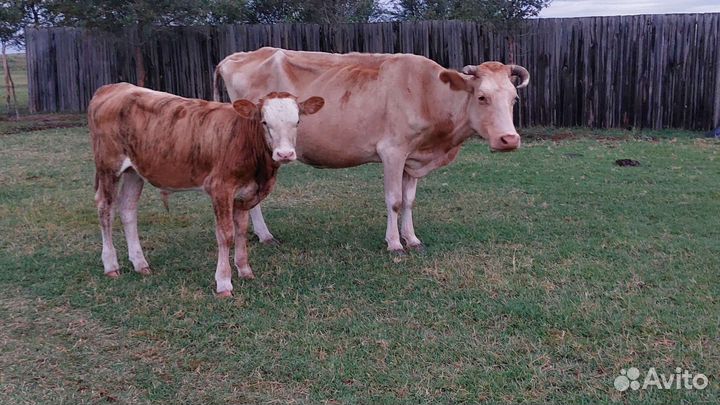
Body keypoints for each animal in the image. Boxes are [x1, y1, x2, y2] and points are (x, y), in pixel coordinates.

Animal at [88, 83, 324, 295]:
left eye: (297, 121)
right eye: (264, 122)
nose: (285, 154)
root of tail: (113, 87)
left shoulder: (245, 193)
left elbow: (241, 230)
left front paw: (244, 270)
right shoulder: (220, 188)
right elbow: (225, 234)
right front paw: (224, 283)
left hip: (134, 171)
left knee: (128, 209)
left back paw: (140, 263)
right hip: (108, 166)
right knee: (105, 209)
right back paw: (111, 265)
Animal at [214, 47, 530, 254]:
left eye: (514, 99)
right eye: (482, 97)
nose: (509, 139)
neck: (427, 92)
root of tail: (238, 56)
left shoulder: (413, 157)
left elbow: (409, 200)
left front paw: (412, 239)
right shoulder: (392, 152)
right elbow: (394, 200)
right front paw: (395, 244)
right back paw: (265, 235)